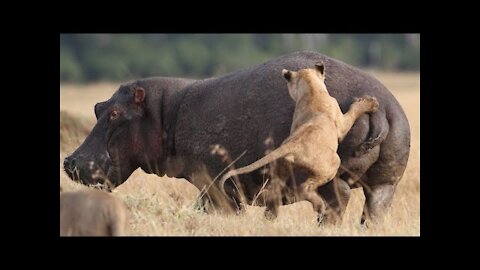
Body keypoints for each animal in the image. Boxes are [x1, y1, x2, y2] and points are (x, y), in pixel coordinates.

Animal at [62, 50, 408, 224]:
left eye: (114, 113)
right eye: (97, 107)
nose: (70, 161)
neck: (164, 113)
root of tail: (381, 109)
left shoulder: (213, 183)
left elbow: (214, 209)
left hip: (326, 174)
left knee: (338, 198)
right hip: (385, 185)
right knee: (373, 211)